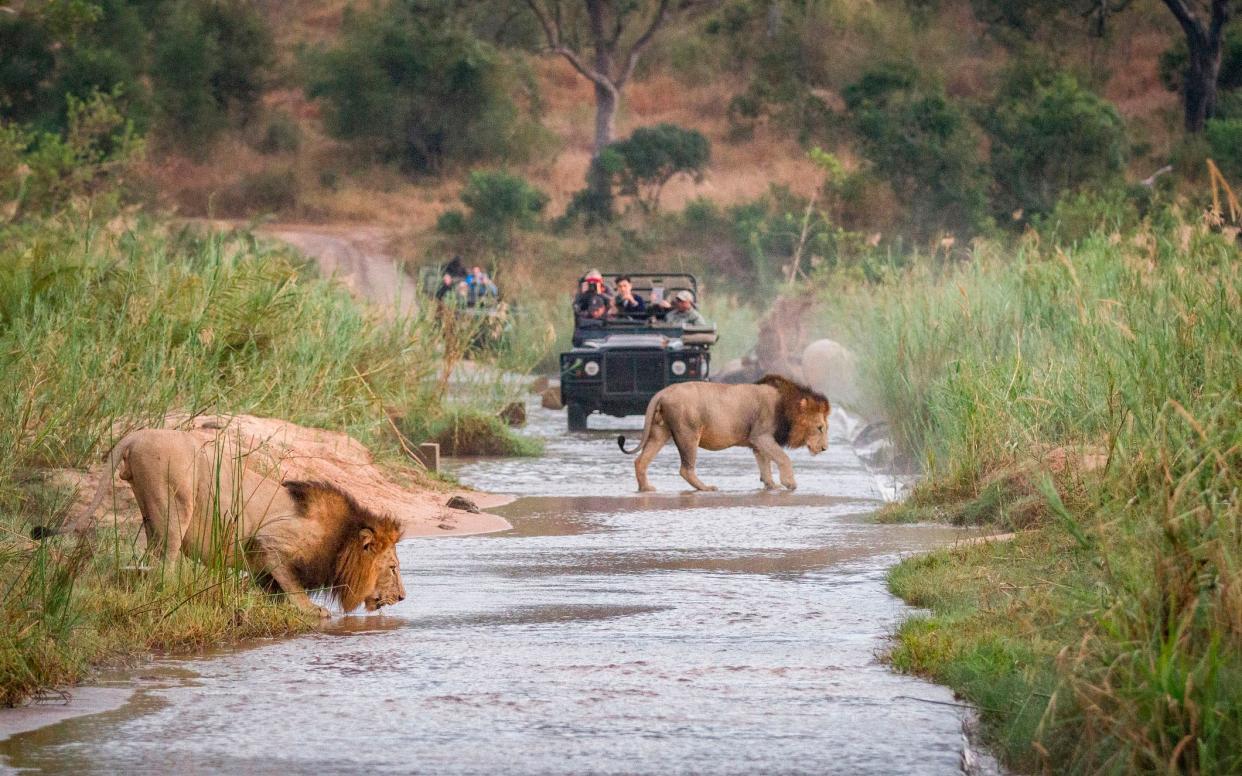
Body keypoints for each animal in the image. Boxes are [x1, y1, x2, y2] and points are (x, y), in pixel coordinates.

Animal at [38, 427, 404, 613]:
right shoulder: (270, 540)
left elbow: (271, 586)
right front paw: (311, 611)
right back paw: (177, 595)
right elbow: (292, 585)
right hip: (175, 504)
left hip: (151, 512)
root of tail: (136, 434)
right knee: (166, 563)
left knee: (150, 558)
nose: (402, 598)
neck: (341, 539)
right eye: (393, 568)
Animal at [616, 374, 829, 489]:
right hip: (688, 433)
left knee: (640, 461)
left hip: (660, 432)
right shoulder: (761, 436)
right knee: (686, 468)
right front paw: (789, 483)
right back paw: (705, 488)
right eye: (820, 428)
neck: (786, 405)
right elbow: (783, 458)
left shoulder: (757, 442)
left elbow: (765, 464)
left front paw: (771, 485)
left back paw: (646, 488)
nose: (825, 449)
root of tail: (662, 392)